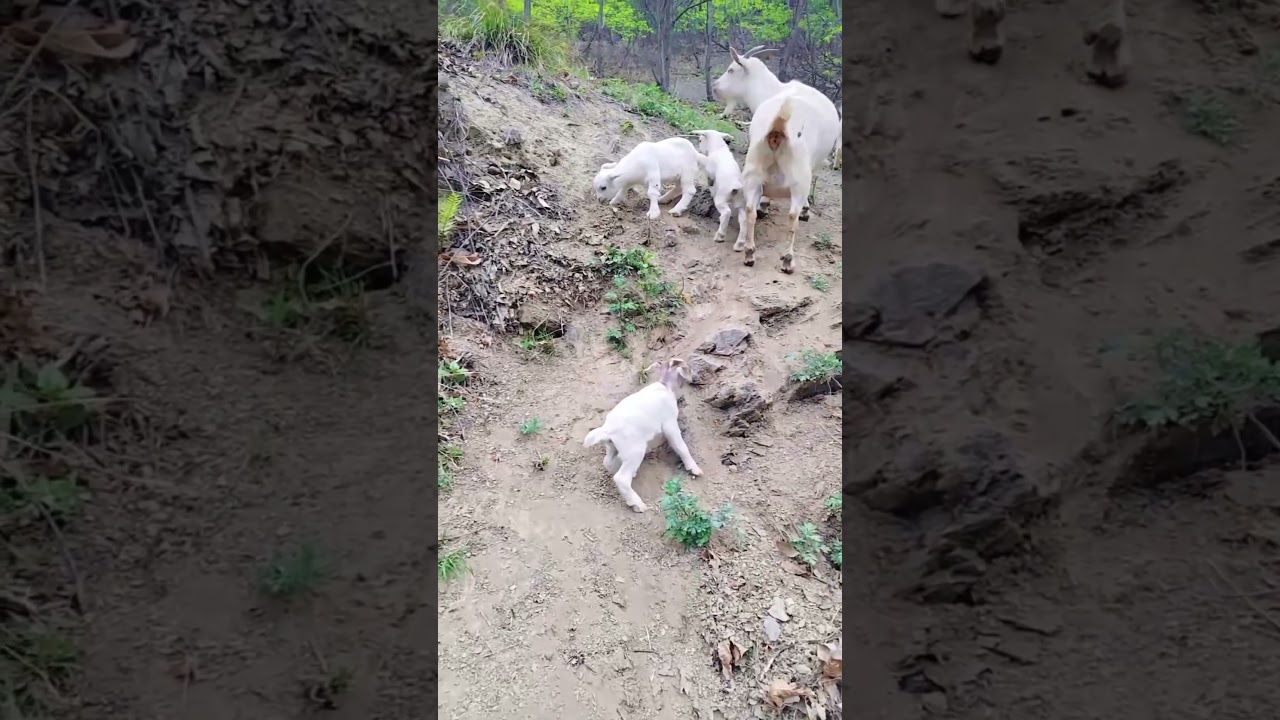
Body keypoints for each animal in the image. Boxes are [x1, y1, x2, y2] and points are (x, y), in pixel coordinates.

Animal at [582, 358, 702, 513]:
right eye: (689, 368)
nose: (696, 377)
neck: (666, 386)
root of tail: (607, 430)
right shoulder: (669, 424)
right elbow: (681, 447)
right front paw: (694, 469)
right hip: (635, 451)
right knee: (621, 478)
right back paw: (637, 504)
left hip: (613, 447)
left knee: (608, 463)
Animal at [739, 87, 840, 274]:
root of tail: (778, 127)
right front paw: (806, 210)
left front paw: (764, 205)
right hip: (798, 179)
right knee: (792, 216)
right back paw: (787, 260)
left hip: (753, 172)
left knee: (750, 210)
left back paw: (749, 254)